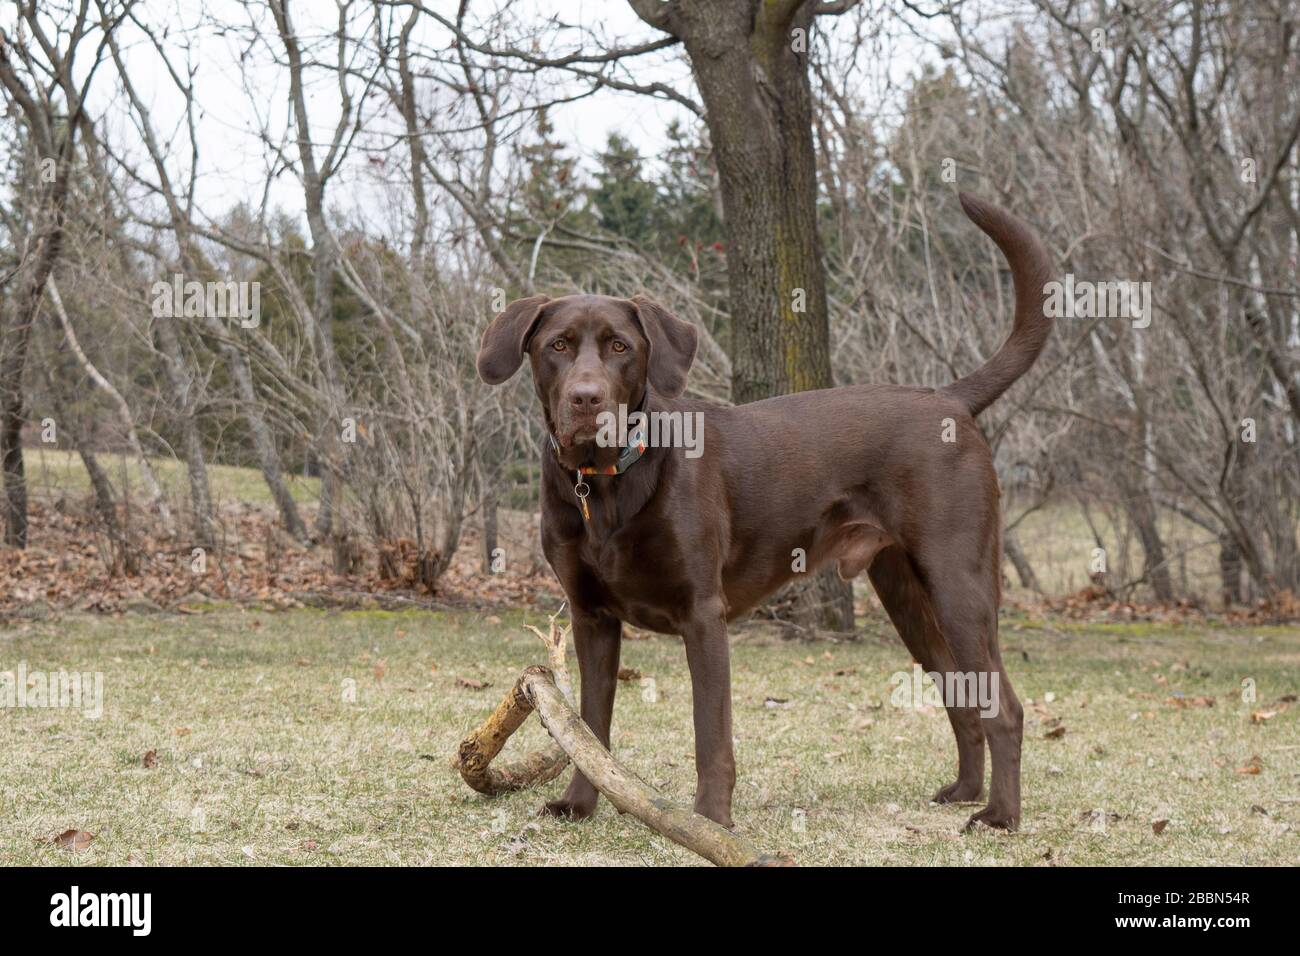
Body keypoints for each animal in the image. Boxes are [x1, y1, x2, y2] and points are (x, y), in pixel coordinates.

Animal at [478, 192, 1055, 832]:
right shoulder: (591, 618)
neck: (605, 483)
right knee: (962, 694)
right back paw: (966, 791)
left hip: (958, 584)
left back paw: (1000, 815)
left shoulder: (703, 614)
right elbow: (589, 728)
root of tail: (949, 398)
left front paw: (710, 820)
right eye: (557, 346)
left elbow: (711, 735)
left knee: (1006, 708)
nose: (587, 399)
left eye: (620, 347)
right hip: (907, 593)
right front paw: (580, 804)